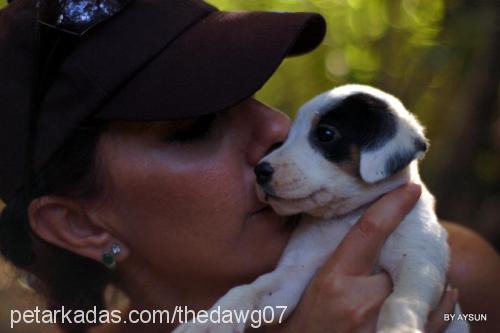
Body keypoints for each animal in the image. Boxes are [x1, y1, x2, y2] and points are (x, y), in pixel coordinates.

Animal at [173, 85, 468, 332]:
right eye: (287, 137)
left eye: (325, 133)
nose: (260, 171)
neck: (351, 216)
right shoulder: (292, 275)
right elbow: (247, 289)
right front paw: (207, 323)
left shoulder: (419, 266)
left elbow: (400, 303)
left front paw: (398, 330)